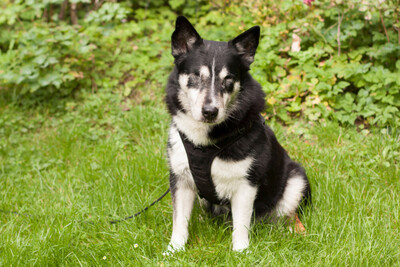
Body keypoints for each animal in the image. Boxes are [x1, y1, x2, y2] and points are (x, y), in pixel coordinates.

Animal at [164, 16, 310, 253]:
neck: (204, 142)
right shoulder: (180, 178)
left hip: (296, 178)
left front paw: (241, 251)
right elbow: (179, 221)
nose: (210, 111)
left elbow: (241, 224)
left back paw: (295, 230)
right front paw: (174, 250)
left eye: (228, 79)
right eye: (195, 76)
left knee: (289, 212)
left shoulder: (246, 184)